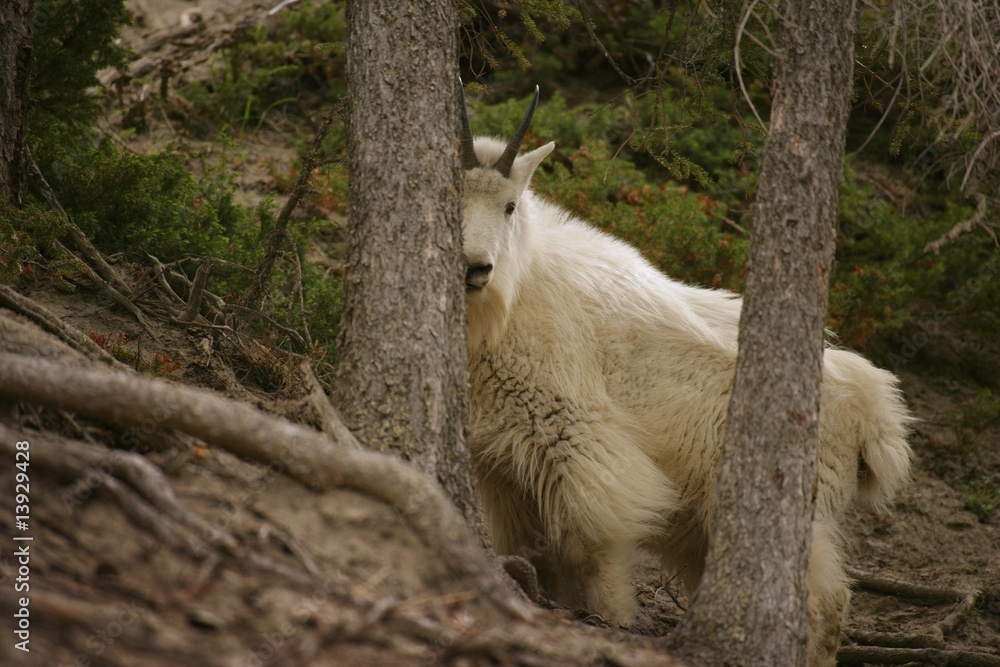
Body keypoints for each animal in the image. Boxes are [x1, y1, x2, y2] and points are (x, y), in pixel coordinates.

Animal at [459, 87, 913, 666]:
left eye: (509, 205)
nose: (475, 268)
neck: (513, 301)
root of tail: (875, 412)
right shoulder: (502, 464)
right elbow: (533, 554)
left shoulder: (582, 439)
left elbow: (592, 547)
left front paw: (614, 620)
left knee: (824, 601)